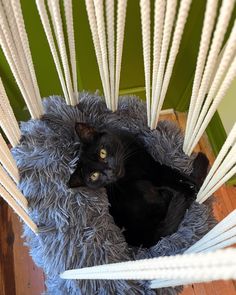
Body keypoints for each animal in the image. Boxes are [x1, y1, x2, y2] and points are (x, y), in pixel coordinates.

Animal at [68, 123, 208, 249]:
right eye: (94, 176)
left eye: (102, 153)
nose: (110, 171)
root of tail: (148, 236)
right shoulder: (155, 170)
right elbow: (173, 175)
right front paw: (192, 188)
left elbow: (177, 173)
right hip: (142, 186)